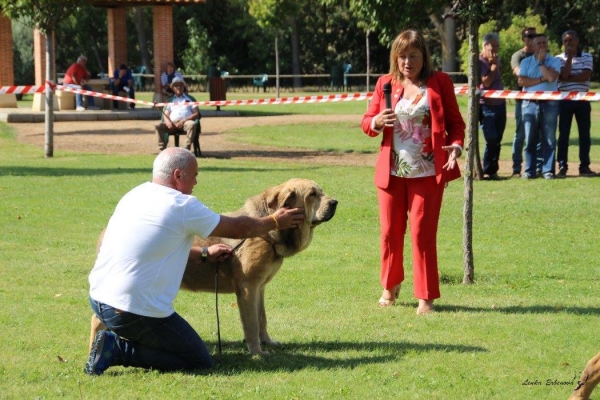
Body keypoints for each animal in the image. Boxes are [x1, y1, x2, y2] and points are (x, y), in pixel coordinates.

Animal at [92, 180, 340, 354]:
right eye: (312, 195)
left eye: (322, 192)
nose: (335, 202)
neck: (269, 233)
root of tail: (105, 231)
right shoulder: (247, 288)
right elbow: (251, 323)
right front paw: (257, 351)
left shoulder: (260, 288)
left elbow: (262, 318)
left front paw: (267, 342)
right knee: (97, 321)